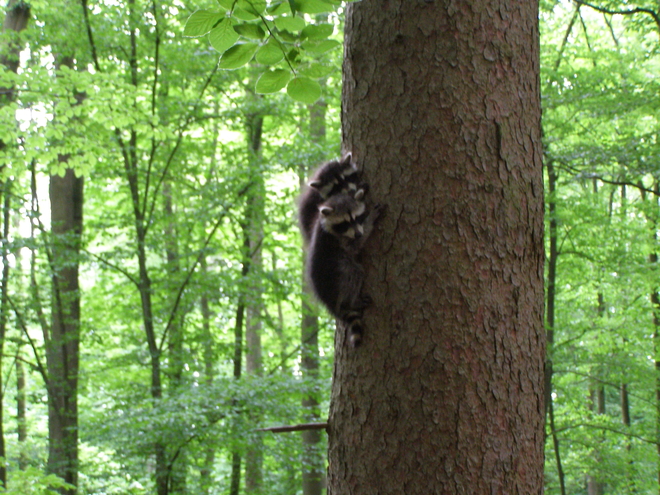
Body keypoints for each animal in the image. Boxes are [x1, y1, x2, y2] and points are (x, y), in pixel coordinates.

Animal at [306, 190, 382, 348]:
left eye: (357, 217)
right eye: (344, 223)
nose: (358, 233)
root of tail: (329, 302)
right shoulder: (339, 240)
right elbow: (355, 245)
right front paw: (370, 221)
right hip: (335, 273)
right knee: (353, 273)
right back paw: (352, 301)